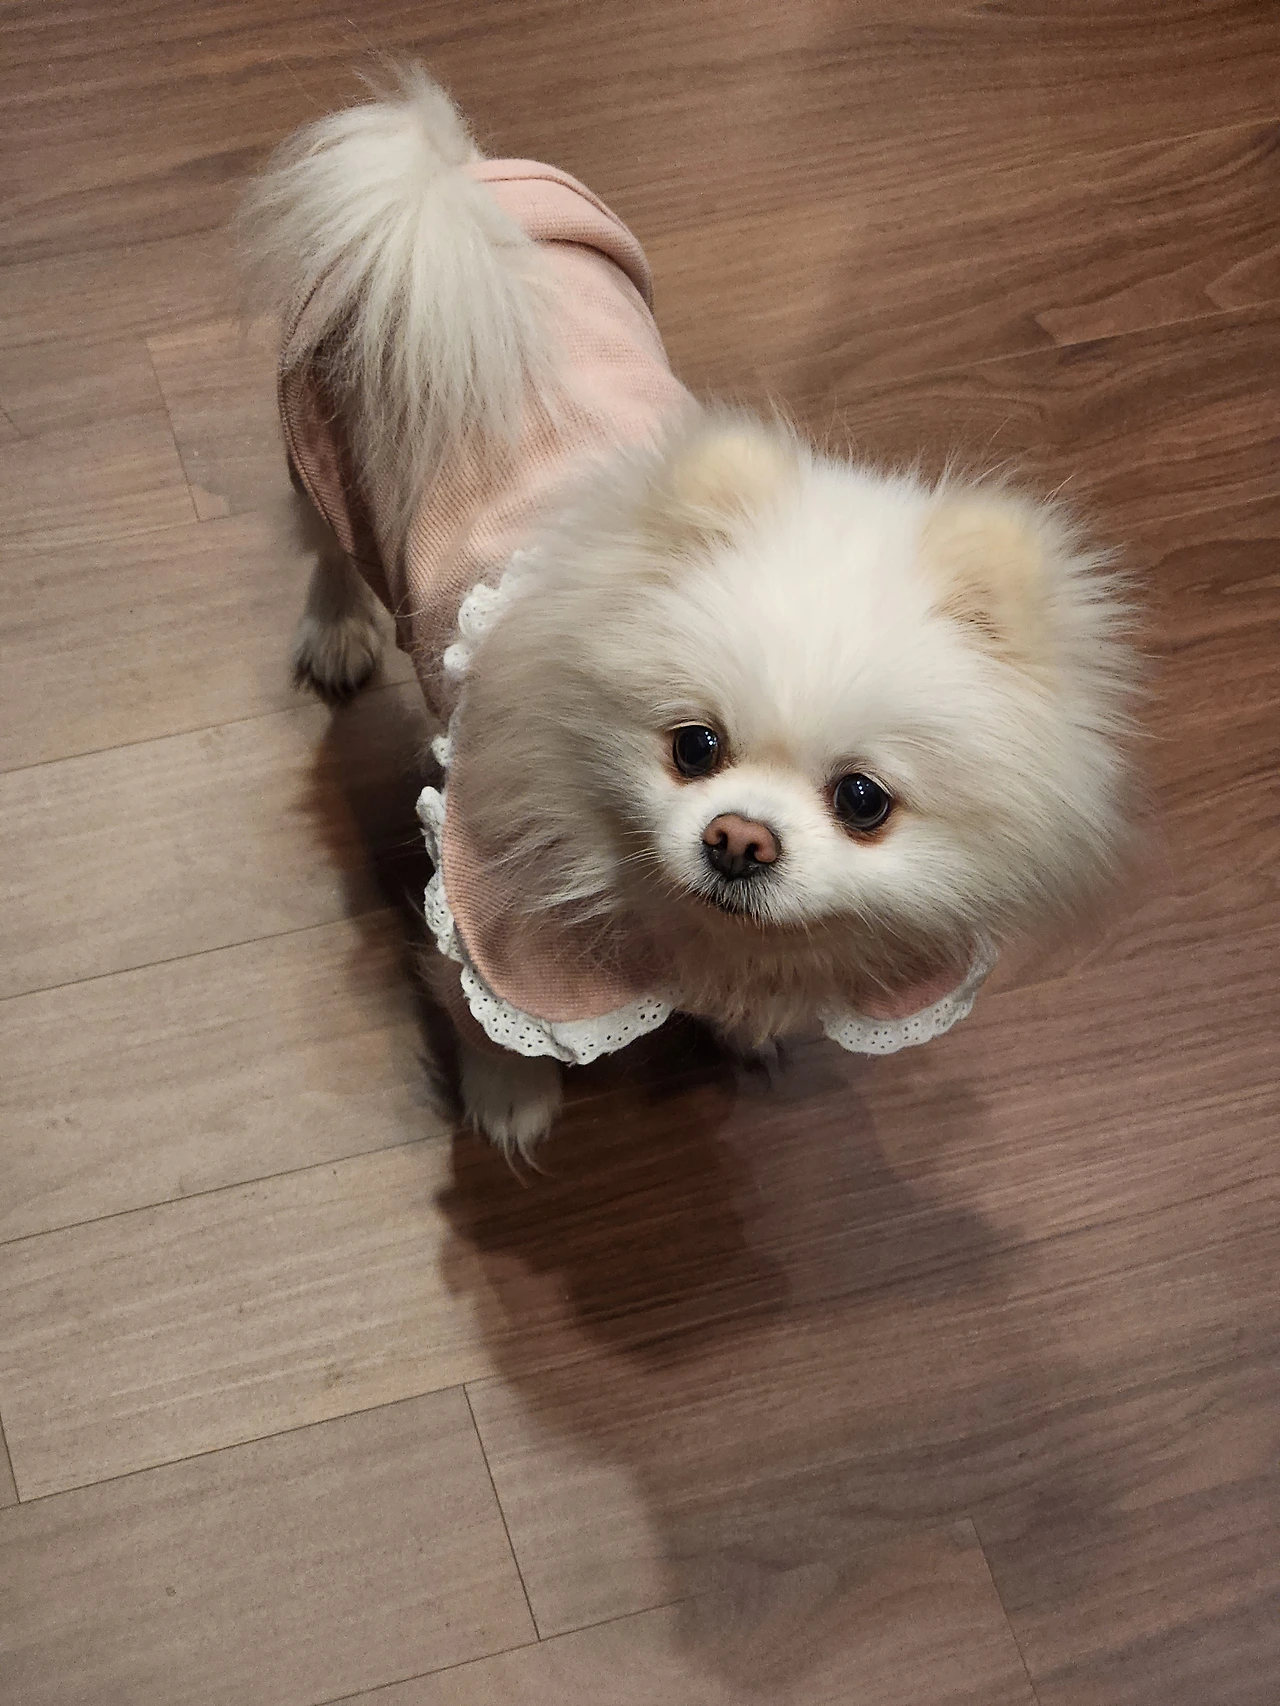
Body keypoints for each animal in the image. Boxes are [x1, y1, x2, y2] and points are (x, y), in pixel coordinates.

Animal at [242, 69, 1135, 1154]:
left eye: (863, 800)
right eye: (693, 746)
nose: (739, 840)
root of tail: (452, 182)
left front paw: (747, 1029)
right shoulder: (493, 917)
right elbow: (486, 1019)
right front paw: (509, 1101)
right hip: (328, 445)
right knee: (326, 550)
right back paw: (337, 633)